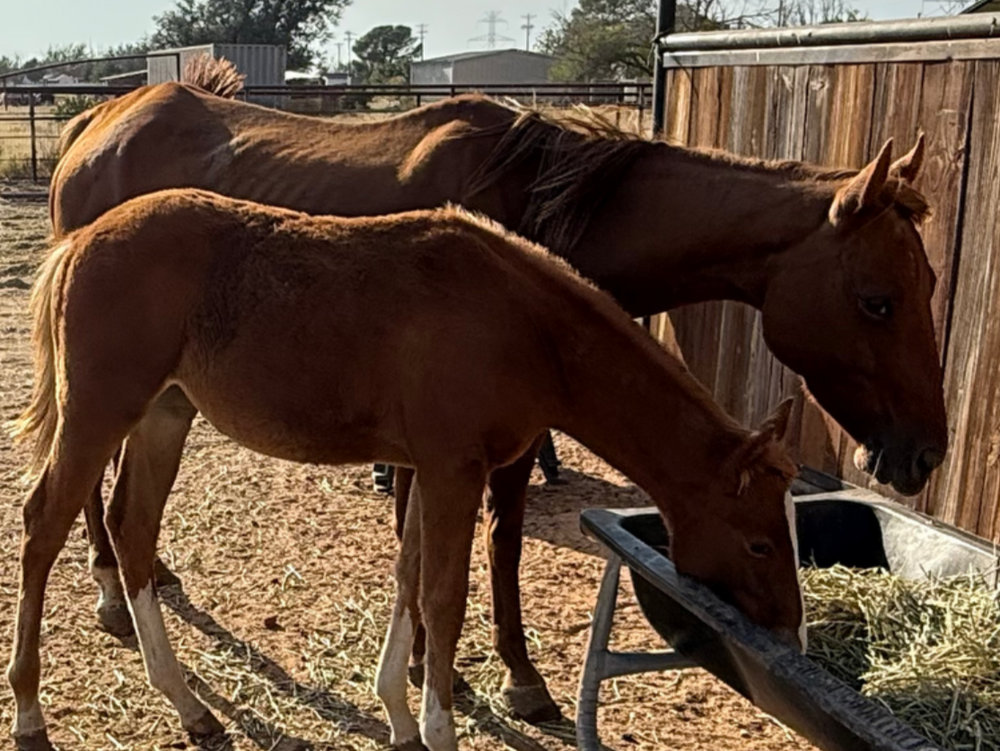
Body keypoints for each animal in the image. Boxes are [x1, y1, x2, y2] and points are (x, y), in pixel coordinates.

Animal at [9, 190, 802, 751]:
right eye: (760, 542)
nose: (790, 633)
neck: (521, 322)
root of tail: (79, 240)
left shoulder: (427, 468)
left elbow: (408, 577)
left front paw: (397, 714)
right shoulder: (456, 469)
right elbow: (443, 598)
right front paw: (438, 728)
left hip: (163, 417)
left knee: (132, 530)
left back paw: (189, 706)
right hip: (99, 412)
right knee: (43, 524)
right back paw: (28, 712)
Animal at [49, 70, 945, 720]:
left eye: (931, 282)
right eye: (878, 300)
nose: (923, 452)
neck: (544, 204)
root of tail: (94, 121)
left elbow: (470, 547)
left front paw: (461, 671)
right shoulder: (459, 441)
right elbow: (477, 550)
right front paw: (476, 675)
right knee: (84, 491)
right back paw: (107, 585)